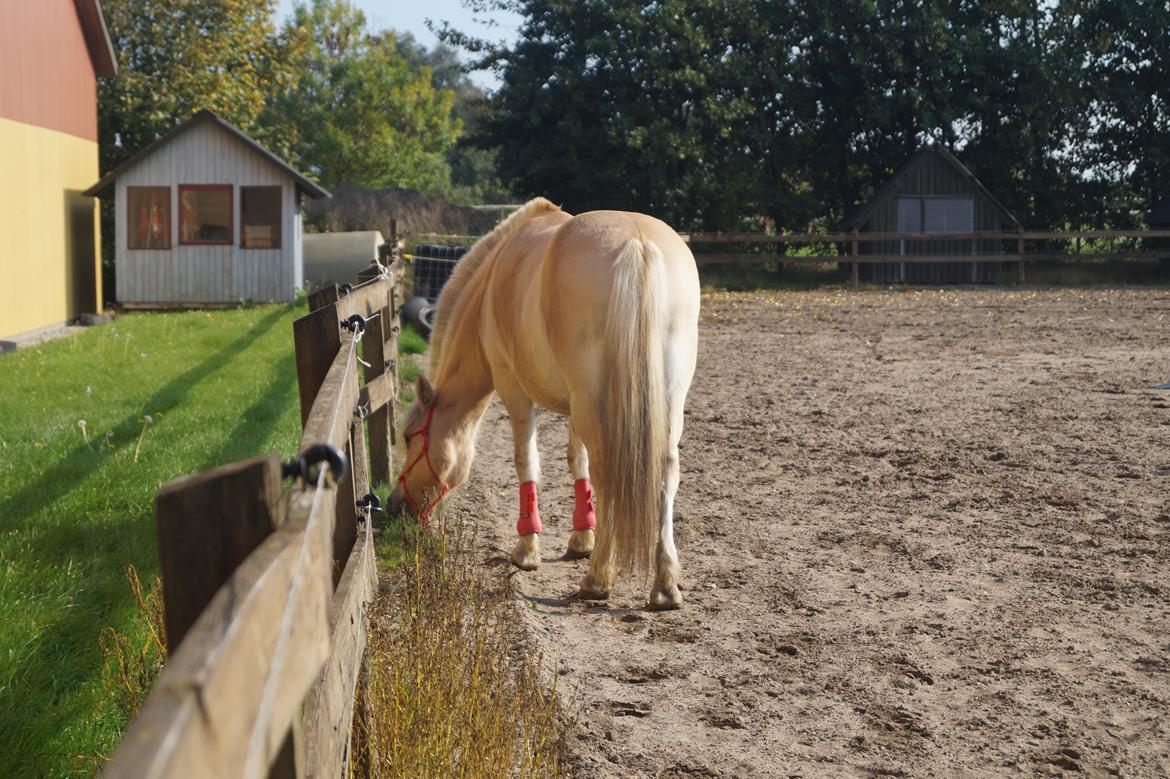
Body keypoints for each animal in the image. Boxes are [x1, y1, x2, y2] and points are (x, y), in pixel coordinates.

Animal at [388, 195, 697, 608]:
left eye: (409, 437)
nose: (395, 506)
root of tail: (637, 243)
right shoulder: (573, 406)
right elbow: (577, 462)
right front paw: (581, 538)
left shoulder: (513, 389)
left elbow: (527, 462)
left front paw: (526, 550)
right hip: (660, 401)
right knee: (665, 471)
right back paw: (664, 586)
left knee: (607, 471)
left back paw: (597, 579)